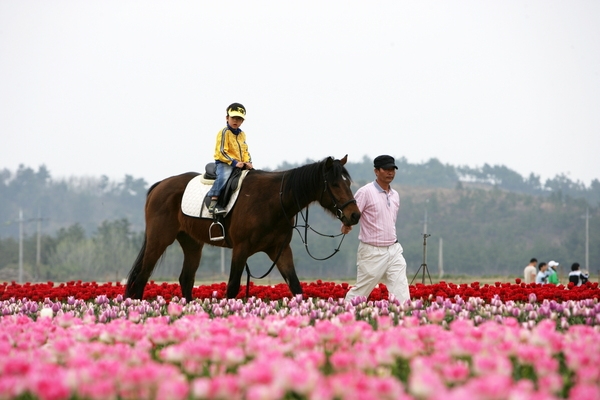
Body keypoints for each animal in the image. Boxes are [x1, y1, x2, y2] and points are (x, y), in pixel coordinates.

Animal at [123, 155, 360, 300]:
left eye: (349, 182)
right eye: (335, 184)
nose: (355, 215)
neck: (274, 201)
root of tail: (159, 186)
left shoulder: (280, 250)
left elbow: (295, 286)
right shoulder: (240, 249)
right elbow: (232, 287)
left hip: (192, 244)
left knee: (186, 279)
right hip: (159, 240)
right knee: (141, 278)